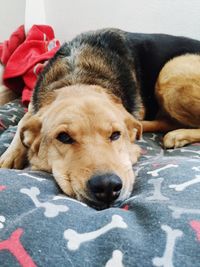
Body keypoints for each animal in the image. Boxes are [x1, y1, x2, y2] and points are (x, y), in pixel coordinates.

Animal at [0, 29, 199, 209]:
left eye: (116, 135)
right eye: (63, 137)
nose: (107, 186)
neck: (78, 78)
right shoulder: (33, 108)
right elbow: (21, 124)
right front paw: (9, 156)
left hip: (171, 70)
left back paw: (177, 135)